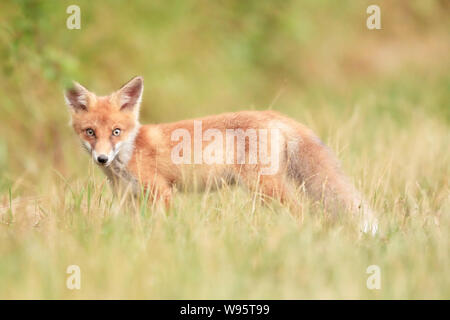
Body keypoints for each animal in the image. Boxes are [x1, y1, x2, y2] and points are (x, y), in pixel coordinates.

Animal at [65, 76, 378, 234]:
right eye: (90, 132)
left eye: (116, 131)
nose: (102, 159)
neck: (130, 151)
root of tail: (274, 115)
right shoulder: (127, 198)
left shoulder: (160, 191)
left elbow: (162, 226)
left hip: (264, 186)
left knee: (301, 212)